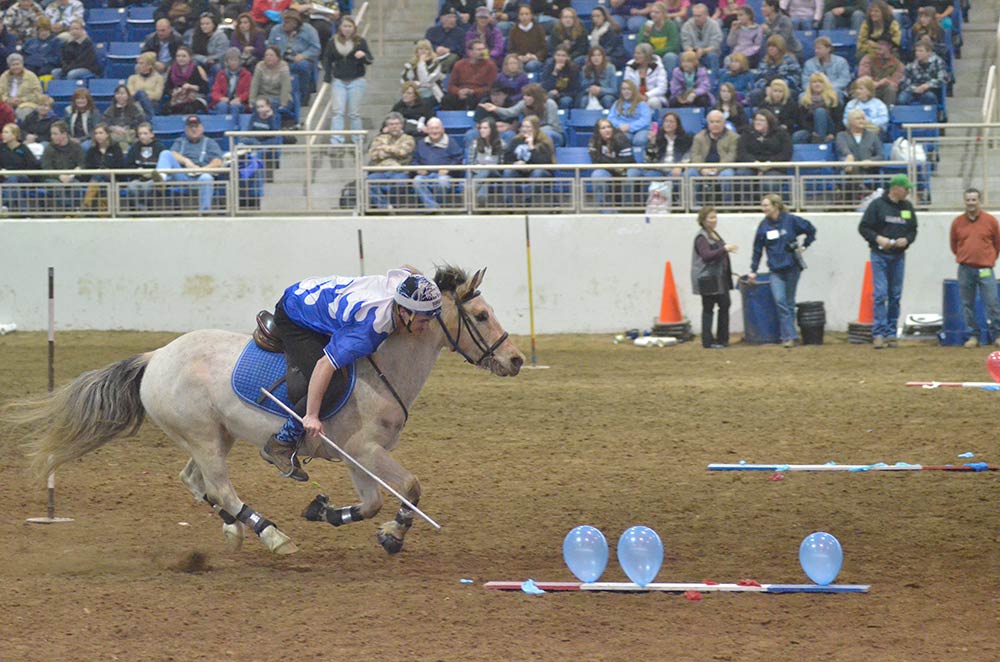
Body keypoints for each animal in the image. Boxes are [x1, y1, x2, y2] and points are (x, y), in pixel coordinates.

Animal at [5, 268, 524, 556]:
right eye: (480, 316)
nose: (517, 359)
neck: (385, 362)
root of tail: (154, 358)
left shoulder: (358, 456)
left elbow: (372, 502)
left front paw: (327, 512)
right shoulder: (366, 448)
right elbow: (411, 488)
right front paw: (395, 535)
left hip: (214, 434)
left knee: (194, 481)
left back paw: (236, 529)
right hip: (203, 435)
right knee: (218, 486)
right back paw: (271, 535)